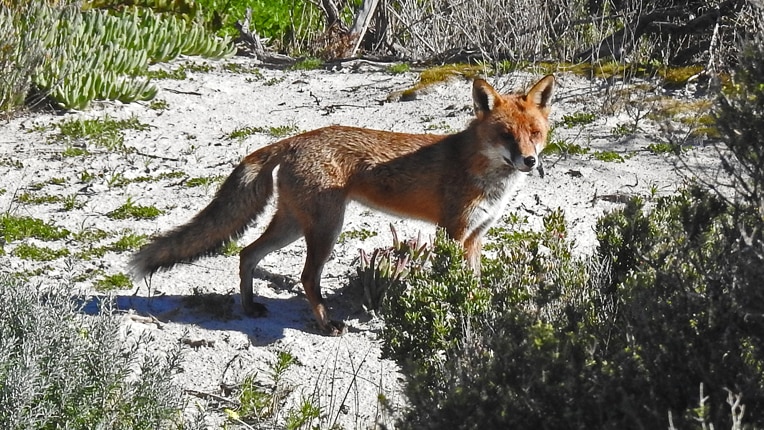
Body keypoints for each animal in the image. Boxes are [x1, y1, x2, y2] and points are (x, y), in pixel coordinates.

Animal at [130, 74, 556, 336]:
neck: (481, 171)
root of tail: (294, 139)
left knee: (246, 253)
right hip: (325, 229)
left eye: (534, 133)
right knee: (306, 277)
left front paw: (479, 312)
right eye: (506, 135)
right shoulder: (453, 232)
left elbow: (475, 284)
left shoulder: (476, 236)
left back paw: (249, 307)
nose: (529, 161)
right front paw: (458, 313)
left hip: (291, 225)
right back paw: (325, 324)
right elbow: (453, 284)